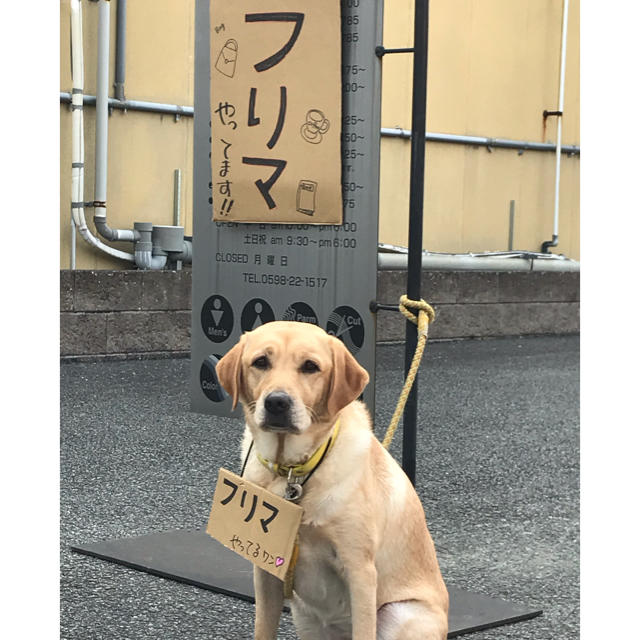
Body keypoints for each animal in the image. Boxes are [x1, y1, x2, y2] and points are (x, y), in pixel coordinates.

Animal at [218, 322, 448, 636]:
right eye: (261, 362)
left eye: (310, 366)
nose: (277, 402)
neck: (293, 471)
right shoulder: (266, 568)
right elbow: (263, 628)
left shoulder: (360, 570)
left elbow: (364, 629)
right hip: (306, 616)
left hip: (400, 613)